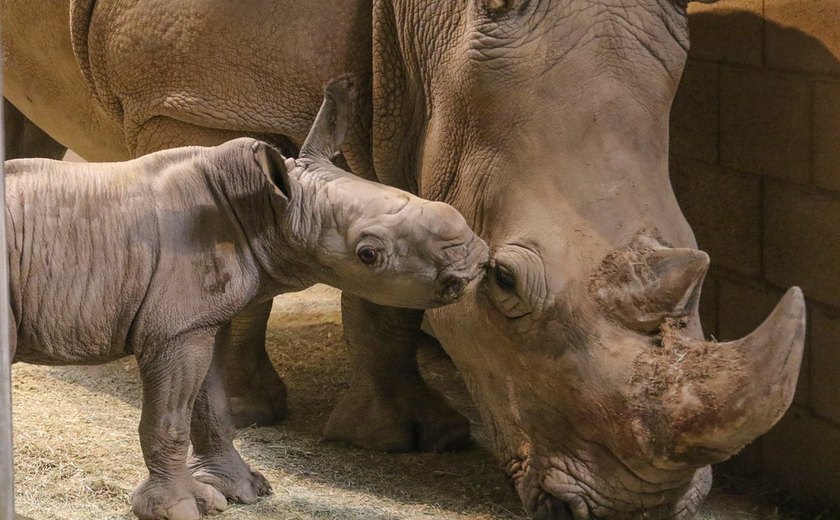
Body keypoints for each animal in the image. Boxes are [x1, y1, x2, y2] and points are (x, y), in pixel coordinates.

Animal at [3, 81, 488, 520]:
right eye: (369, 254)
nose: (474, 258)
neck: (266, 210)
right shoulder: (174, 329)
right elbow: (169, 419)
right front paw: (178, 509)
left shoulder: (198, 322)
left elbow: (210, 407)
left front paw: (239, 492)